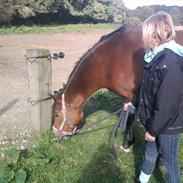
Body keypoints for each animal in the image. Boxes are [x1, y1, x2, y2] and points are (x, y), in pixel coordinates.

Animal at [51, 24, 183, 149]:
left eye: (56, 114)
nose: (55, 134)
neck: (110, 60)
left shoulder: (130, 97)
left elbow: (129, 120)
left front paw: (126, 144)